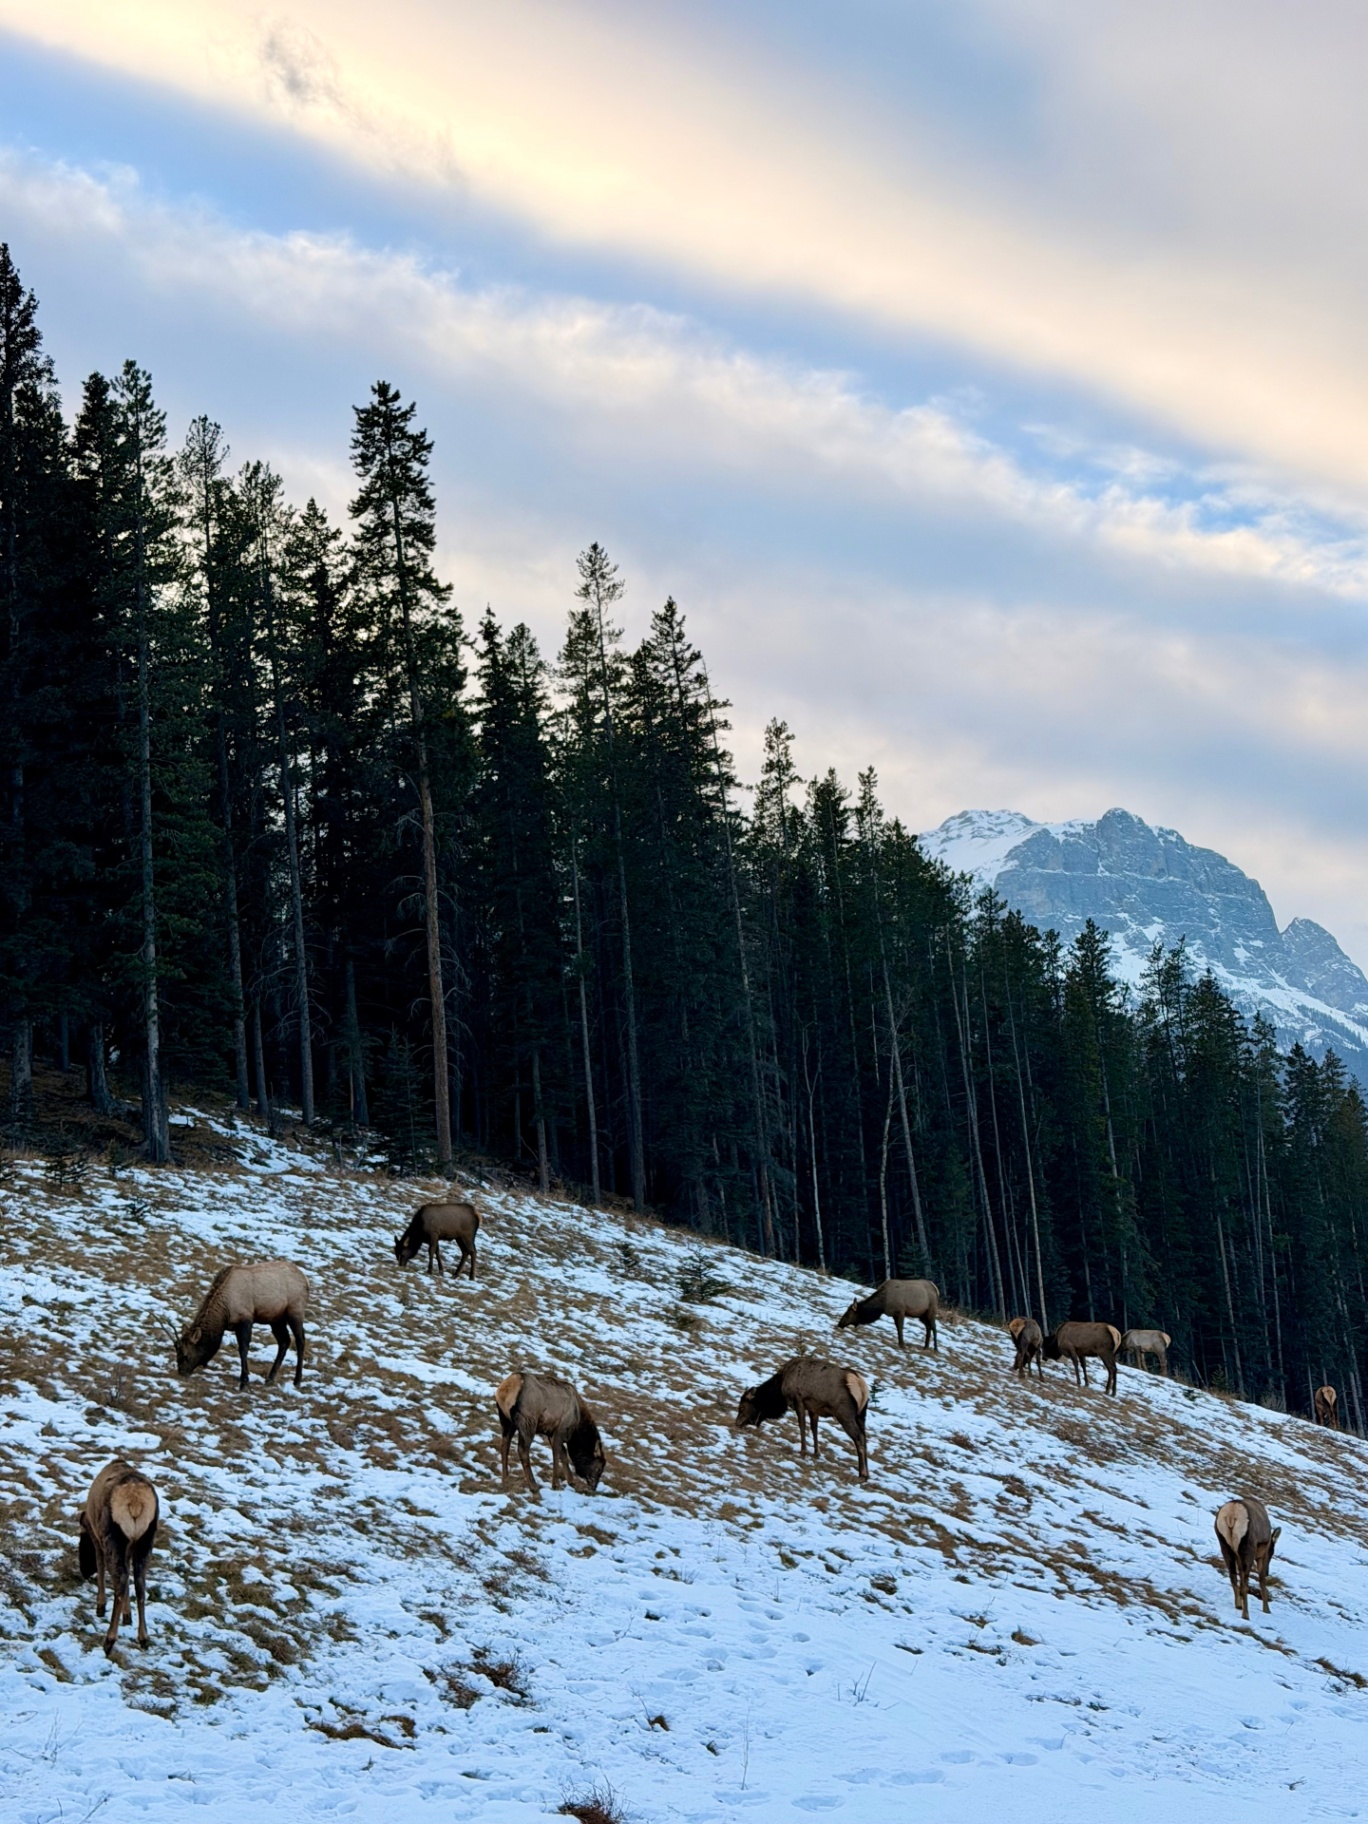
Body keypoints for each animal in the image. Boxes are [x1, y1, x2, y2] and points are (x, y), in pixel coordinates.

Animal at [78, 1459, 159, 1656]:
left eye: (82, 1541)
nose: (83, 1571)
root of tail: (135, 1501)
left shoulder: (97, 1538)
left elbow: (100, 1566)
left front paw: (100, 1606)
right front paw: (127, 1615)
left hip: (113, 1538)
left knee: (120, 1583)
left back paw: (109, 1640)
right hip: (145, 1540)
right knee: (140, 1584)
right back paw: (143, 1637)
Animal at [168, 1261, 309, 1390]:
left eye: (186, 1356)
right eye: (177, 1353)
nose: (182, 1372)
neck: (223, 1314)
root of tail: (306, 1281)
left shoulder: (246, 1319)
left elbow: (243, 1349)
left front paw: (244, 1382)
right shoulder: (236, 1325)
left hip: (295, 1312)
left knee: (300, 1340)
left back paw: (297, 1380)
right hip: (276, 1319)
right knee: (285, 1341)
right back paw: (270, 1378)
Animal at [736, 1357, 870, 1481]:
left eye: (742, 1407)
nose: (737, 1423)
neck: (780, 1389)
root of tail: (861, 1386)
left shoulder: (798, 1401)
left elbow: (802, 1426)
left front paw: (803, 1451)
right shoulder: (813, 1408)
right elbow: (814, 1429)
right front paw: (816, 1453)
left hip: (844, 1413)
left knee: (859, 1437)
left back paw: (862, 1473)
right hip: (861, 1415)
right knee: (864, 1437)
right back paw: (867, 1473)